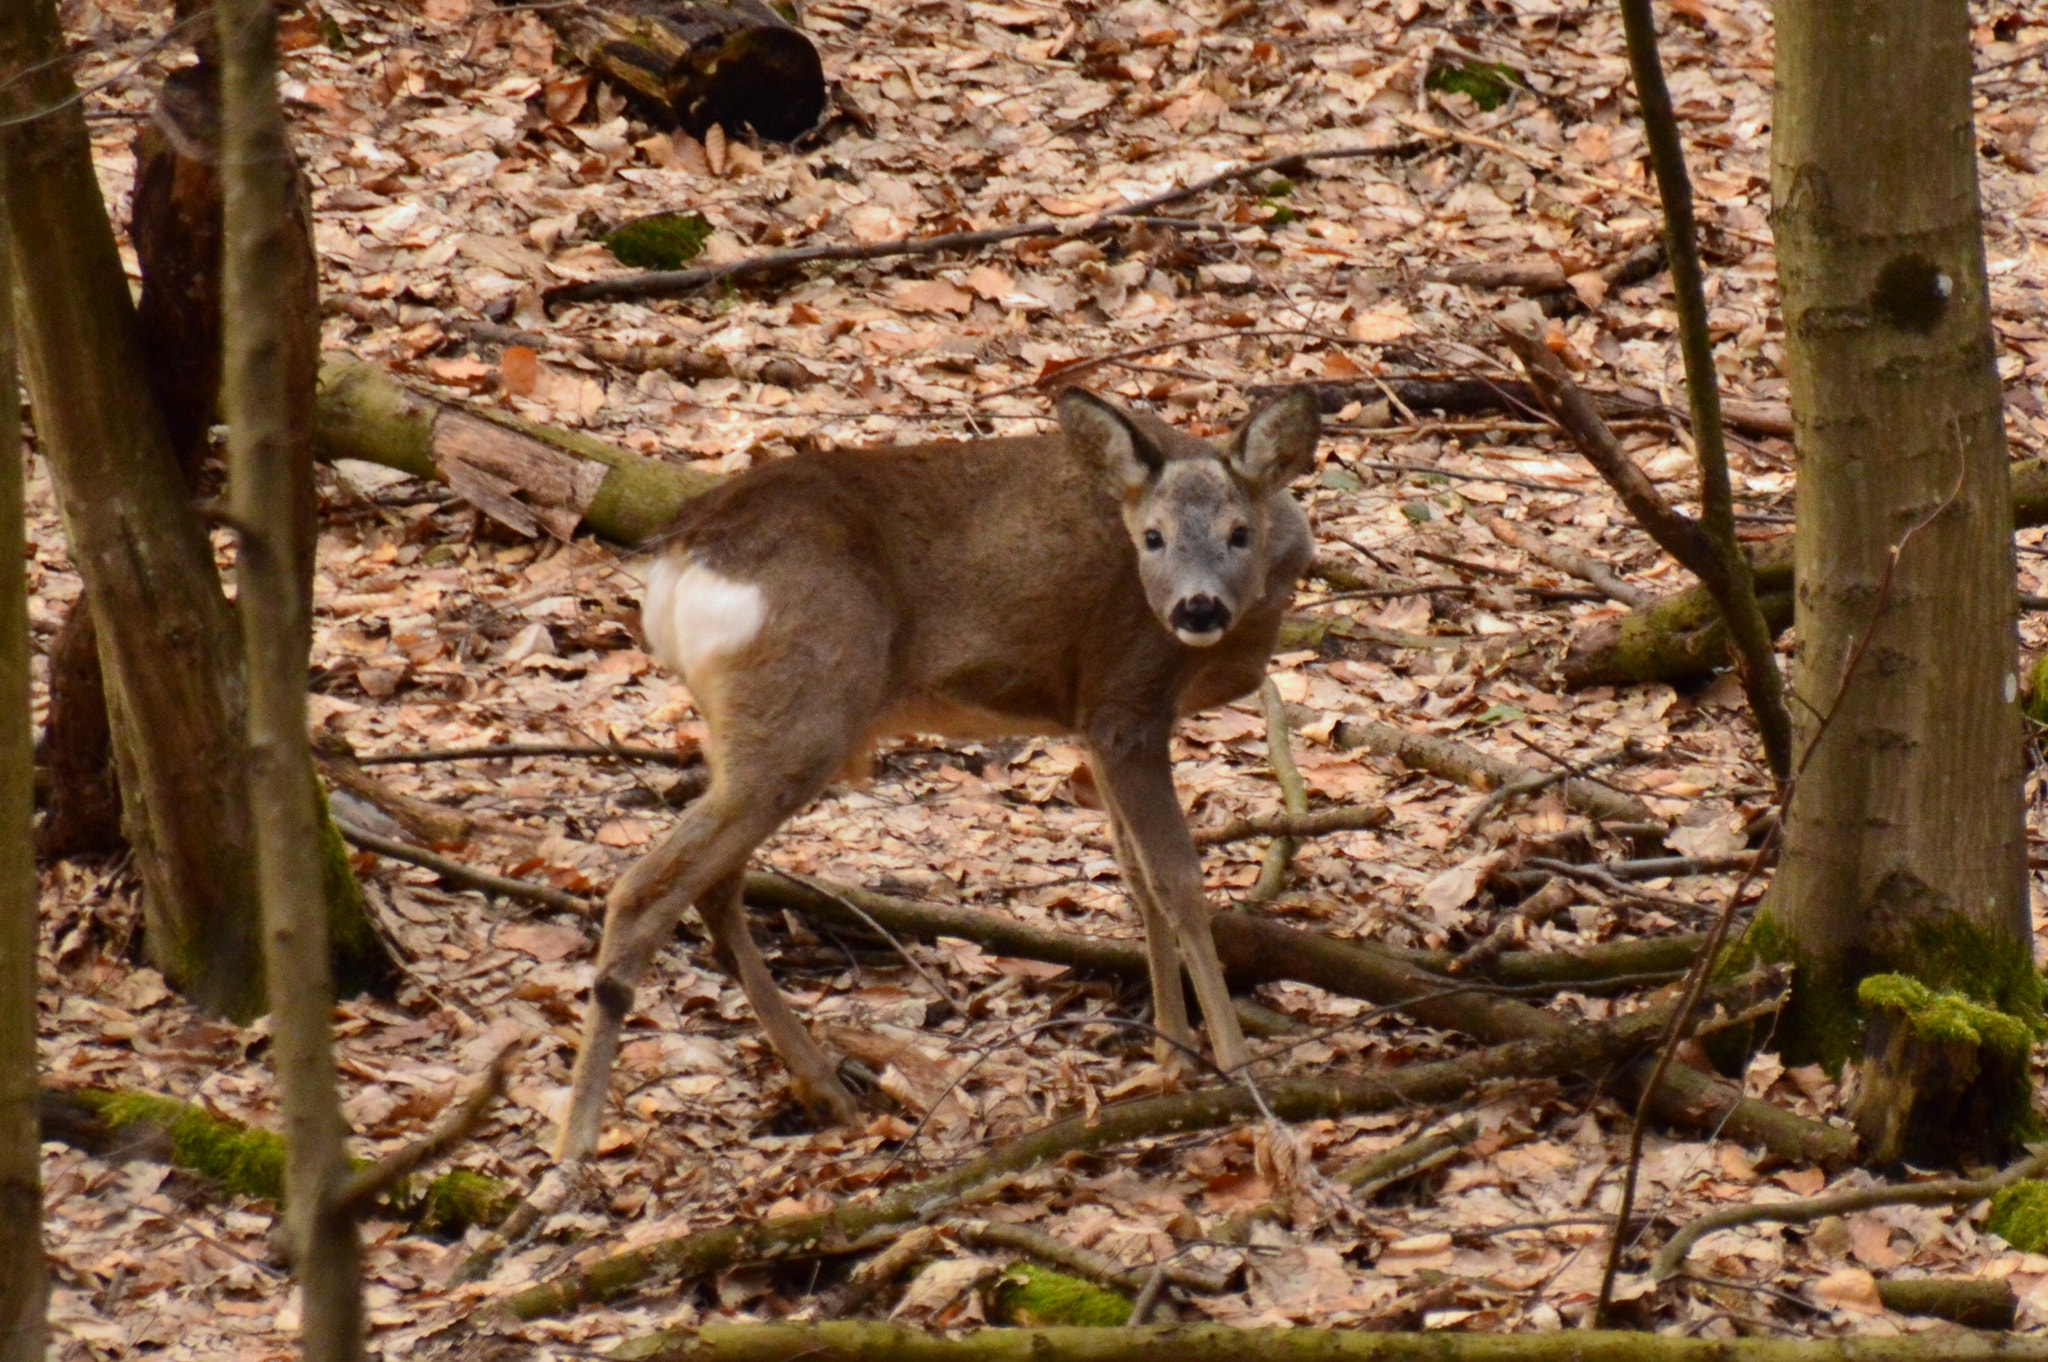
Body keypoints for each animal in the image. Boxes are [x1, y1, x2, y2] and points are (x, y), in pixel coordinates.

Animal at [557, 385, 1327, 1155]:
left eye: (1238, 533)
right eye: (1154, 538)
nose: (1197, 607)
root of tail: (677, 561)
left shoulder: (1094, 720)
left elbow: (1135, 879)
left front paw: (1172, 1056)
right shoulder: (1126, 702)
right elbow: (1179, 882)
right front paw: (1236, 1071)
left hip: (751, 729)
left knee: (715, 888)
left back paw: (828, 1089)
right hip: (803, 716)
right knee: (645, 889)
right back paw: (575, 1148)